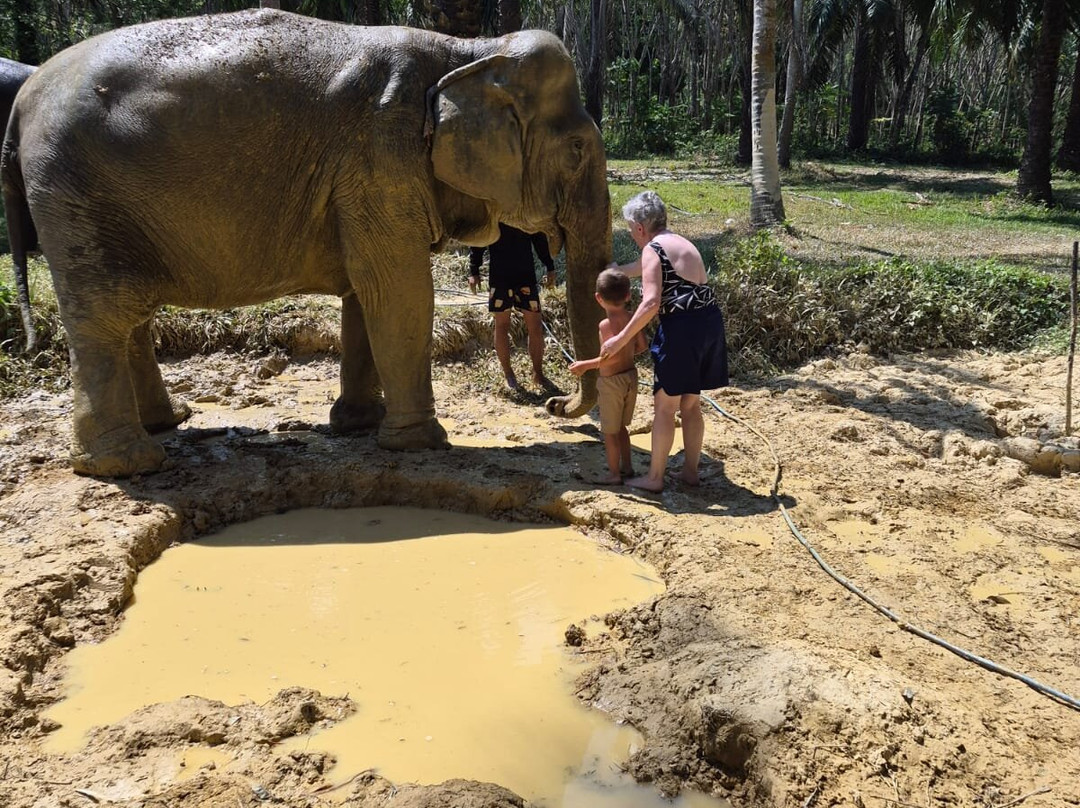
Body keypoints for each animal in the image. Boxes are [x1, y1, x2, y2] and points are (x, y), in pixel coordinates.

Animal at [1, 9, 611, 477]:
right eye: (578, 149)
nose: (557, 403)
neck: (468, 50)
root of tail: (25, 96)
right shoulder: (380, 155)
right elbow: (399, 288)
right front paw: (421, 442)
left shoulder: (365, 176)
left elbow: (367, 292)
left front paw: (359, 425)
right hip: (73, 191)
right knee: (103, 313)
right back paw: (128, 464)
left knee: (130, 313)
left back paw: (166, 425)